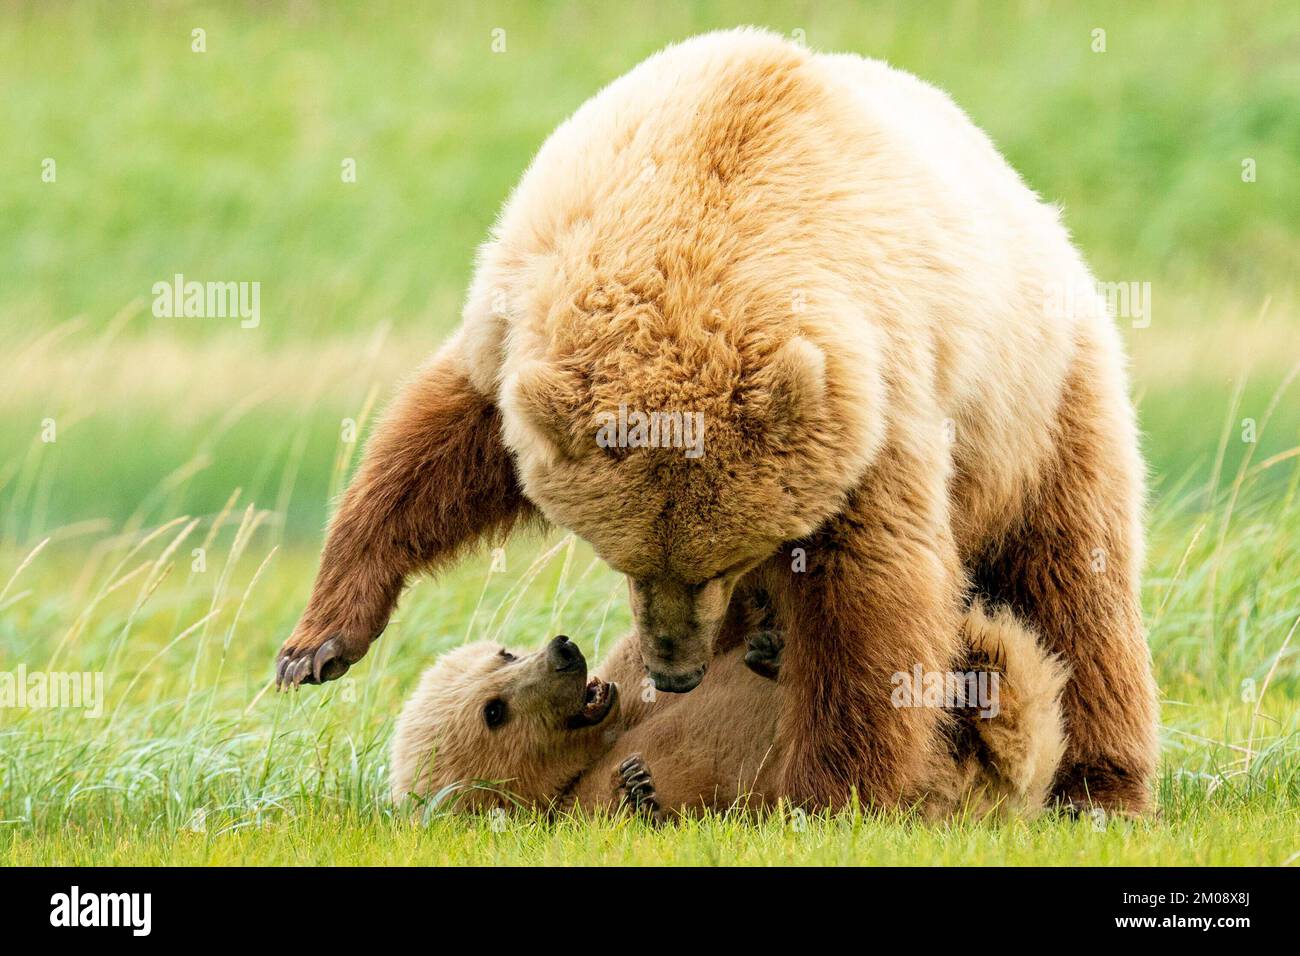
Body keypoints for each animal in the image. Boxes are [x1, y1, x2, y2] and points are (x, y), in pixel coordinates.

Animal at [271, 29, 1159, 811]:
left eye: (716, 562)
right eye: (622, 560)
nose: (673, 671)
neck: (697, 235)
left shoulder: (872, 410)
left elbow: (874, 596)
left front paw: (830, 790)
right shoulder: (522, 319)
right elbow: (433, 451)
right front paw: (317, 644)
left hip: (1042, 402)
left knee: (1074, 588)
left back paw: (1098, 786)